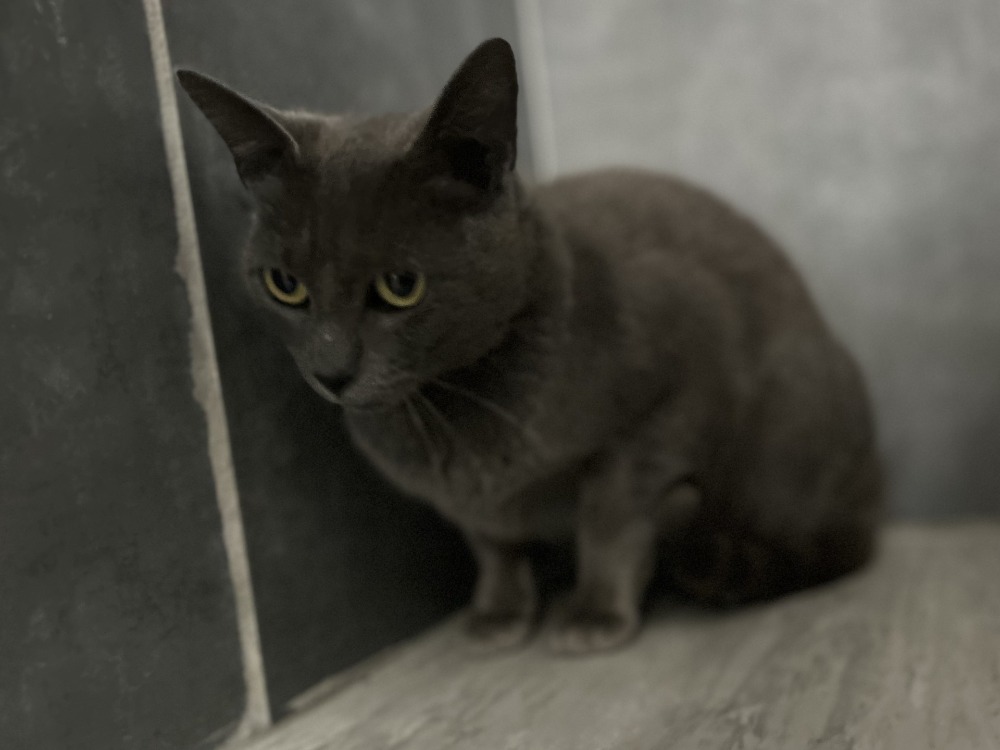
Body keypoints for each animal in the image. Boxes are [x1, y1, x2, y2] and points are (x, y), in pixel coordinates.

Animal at [177, 38, 882, 654]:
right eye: (285, 284)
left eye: (401, 286)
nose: (330, 370)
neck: (455, 411)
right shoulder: (466, 503)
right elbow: (491, 543)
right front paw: (499, 612)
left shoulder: (675, 393)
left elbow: (612, 517)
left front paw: (596, 614)